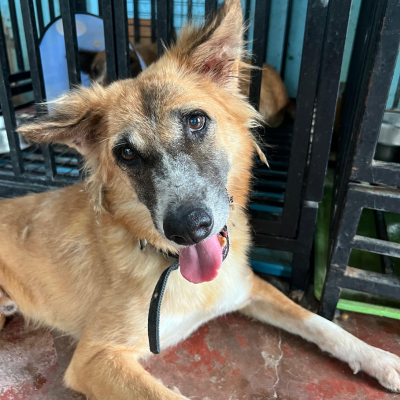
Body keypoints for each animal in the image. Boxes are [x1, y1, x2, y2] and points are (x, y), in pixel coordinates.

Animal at [1, 1, 399, 398]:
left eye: (195, 121)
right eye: (126, 153)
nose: (189, 229)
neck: (170, 262)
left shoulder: (251, 287)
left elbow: (318, 321)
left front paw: (378, 358)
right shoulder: (95, 357)